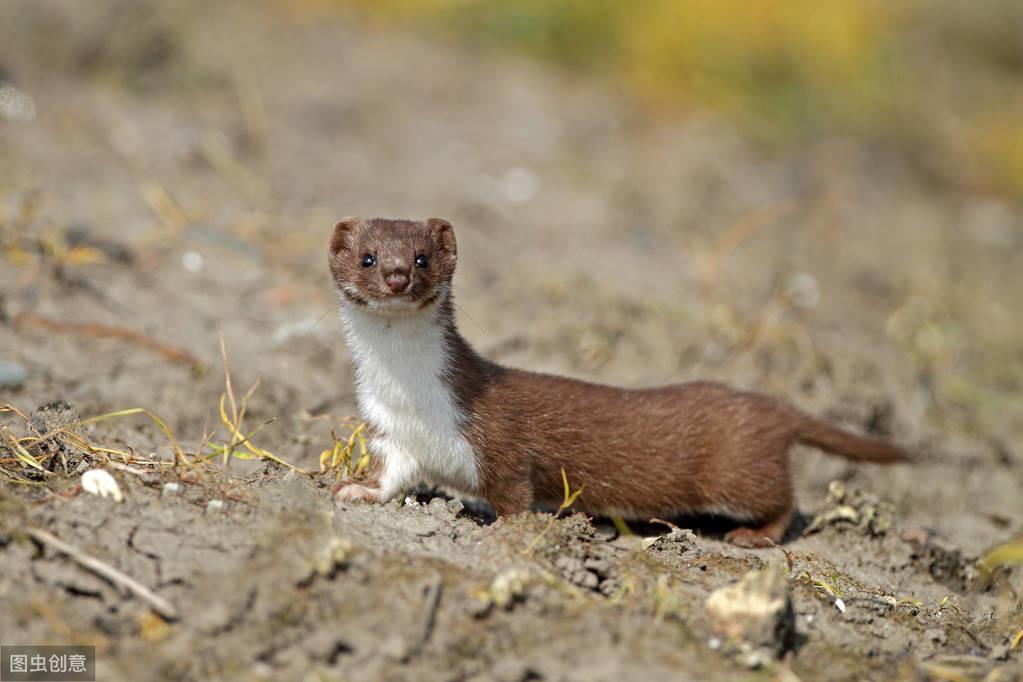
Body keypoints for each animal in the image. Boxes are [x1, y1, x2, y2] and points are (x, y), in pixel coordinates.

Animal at [327, 215, 912, 548]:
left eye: (423, 258)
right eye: (369, 257)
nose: (397, 276)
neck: (415, 398)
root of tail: (773, 406)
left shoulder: (502, 443)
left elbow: (514, 493)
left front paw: (512, 531)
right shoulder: (389, 431)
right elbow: (391, 478)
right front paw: (354, 490)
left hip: (736, 473)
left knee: (784, 500)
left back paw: (753, 536)